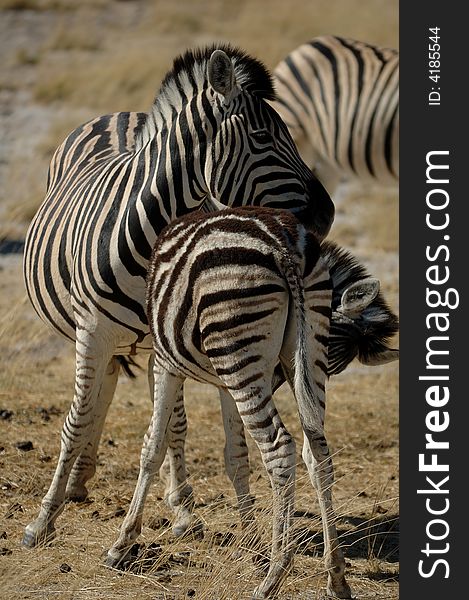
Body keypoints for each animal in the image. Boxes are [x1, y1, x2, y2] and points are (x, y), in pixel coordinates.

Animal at [22, 43, 332, 548]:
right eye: (263, 136)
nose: (328, 213)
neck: (149, 233)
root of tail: (120, 115)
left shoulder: (164, 340)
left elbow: (173, 426)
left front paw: (183, 509)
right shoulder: (91, 333)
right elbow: (75, 421)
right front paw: (42, 519)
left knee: (129, 393)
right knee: (98, 394)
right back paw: (76, 482)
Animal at [105, 207, 352, 600]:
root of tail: (283, 243)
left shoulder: (164, 362)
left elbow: (152, 447)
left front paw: (123, 541)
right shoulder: (223, 383)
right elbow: (235, 457)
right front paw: (250, 539)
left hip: (237, 341)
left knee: (280, 450)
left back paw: (274, 575)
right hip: (304, 350)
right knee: (318, 454)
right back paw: (335, 576)